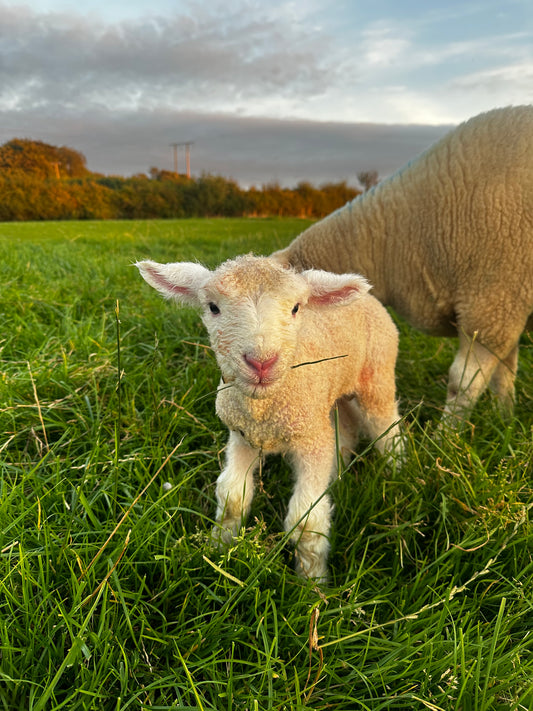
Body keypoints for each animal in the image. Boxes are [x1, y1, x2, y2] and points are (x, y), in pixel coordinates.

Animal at [135, 253, 402, 580]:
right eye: (212, 307)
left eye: (296, 308)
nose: (261, 362)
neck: (264, 412)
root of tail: (370, 298)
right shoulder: (242, 436)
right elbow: (232, 496)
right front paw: (218, 549)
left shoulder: (311, 440)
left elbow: (306, 523)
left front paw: (313, 582)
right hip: (333, 394)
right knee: (345, 428)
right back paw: (338, 470)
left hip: (377, 374)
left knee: (385, 426)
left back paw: (399, 470)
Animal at [272, 105, 528, 422]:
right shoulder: (507, 307)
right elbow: (504, 375)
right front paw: (506, 418)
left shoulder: (491, 303)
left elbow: (463, 382)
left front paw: (450, 430)